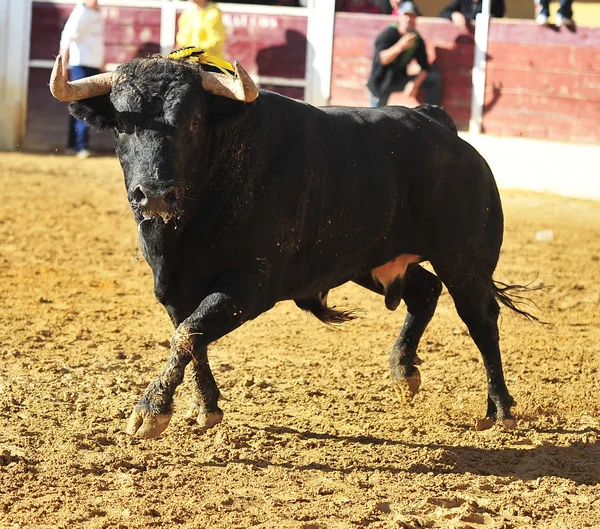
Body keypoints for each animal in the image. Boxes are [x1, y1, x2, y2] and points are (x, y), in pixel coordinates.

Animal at [65, 57, 532, 438]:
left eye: (193, 122)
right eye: (121, 125)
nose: (156, 195)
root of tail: (439, 127)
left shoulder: (251, 286)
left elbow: (188, 335)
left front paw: (150, 412)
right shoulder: (172, 287)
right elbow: (190, 335)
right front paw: (205, 408)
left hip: (465, 262)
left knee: (481, 321)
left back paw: (501, 409)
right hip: (369, 261)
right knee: (425, 291)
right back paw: (404, 372)